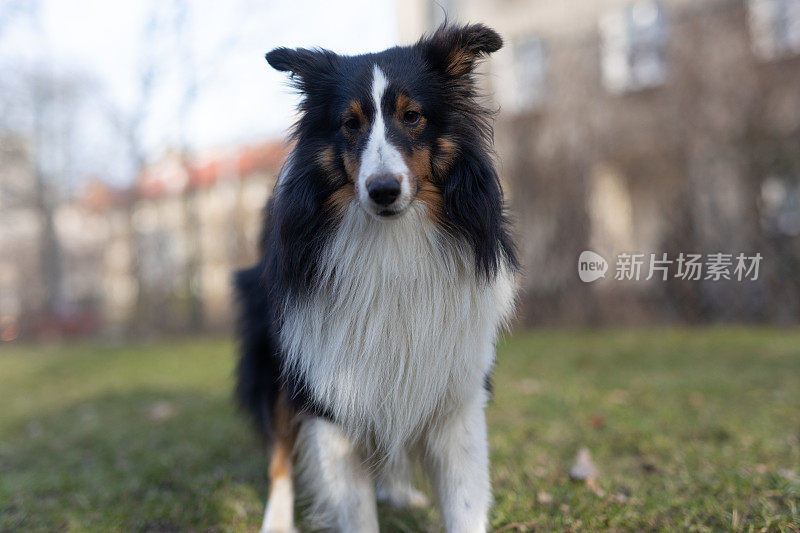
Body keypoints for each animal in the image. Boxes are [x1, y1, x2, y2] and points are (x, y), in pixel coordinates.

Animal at [234, 22, 516, 528]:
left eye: (413, 116)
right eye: (350, 124)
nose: (383, 191)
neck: (393, 246)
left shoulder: (456, 393)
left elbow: (464, 505)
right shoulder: (327, 396)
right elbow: (354, 508)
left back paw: (399, 491)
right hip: (278, 361)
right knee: (280, 454)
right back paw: (277, 521)